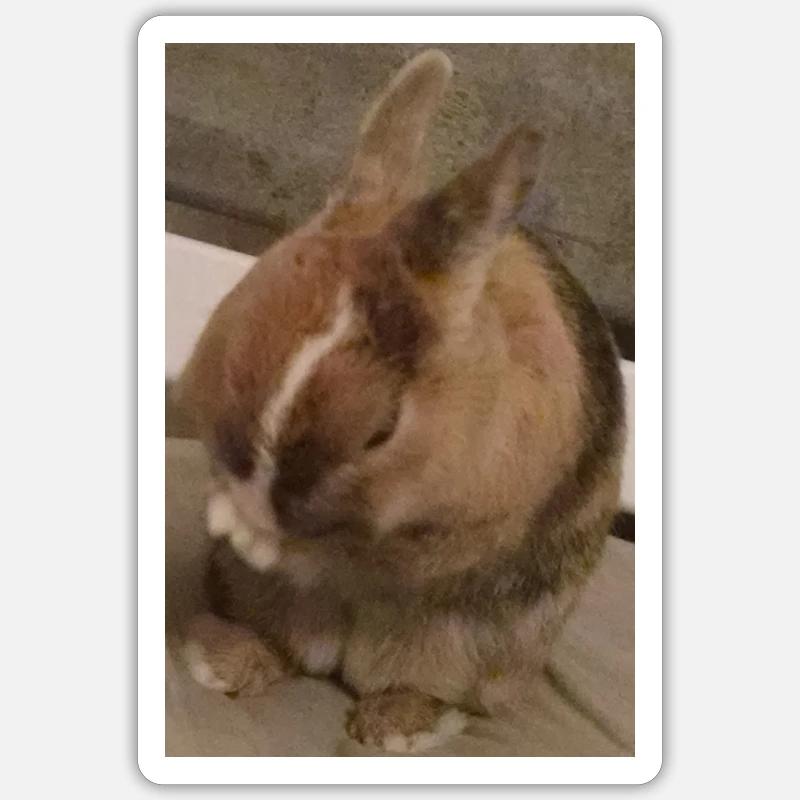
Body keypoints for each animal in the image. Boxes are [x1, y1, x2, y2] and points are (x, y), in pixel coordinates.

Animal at [174, 49, 625, 753]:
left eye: (381, 430)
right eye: (240, 323)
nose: (256, 498)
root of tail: (342, 655)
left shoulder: (449, 535)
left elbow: (350, 550)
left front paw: (254, 534)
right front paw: (230, 515)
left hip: (477, 648)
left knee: (441, 691)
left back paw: (394, 728)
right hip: (254, 600)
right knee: (282, 647)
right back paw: (223, 658)